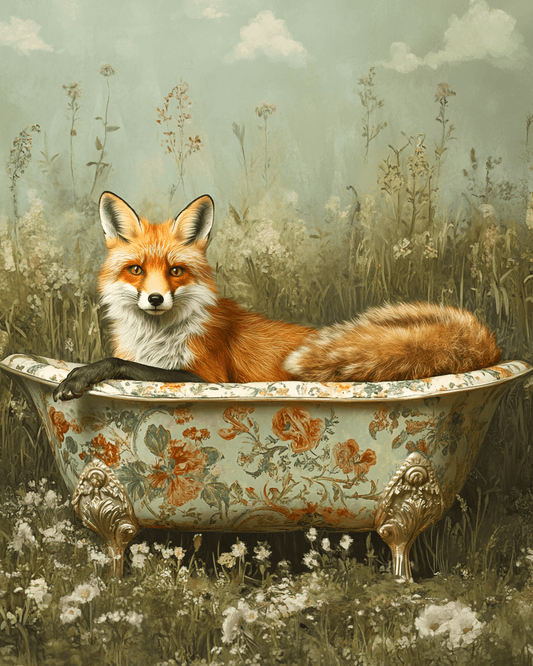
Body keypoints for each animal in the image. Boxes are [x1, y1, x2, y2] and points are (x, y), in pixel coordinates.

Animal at [53, 191, 501, 401]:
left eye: (176, 271)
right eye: (137, 270)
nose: (156, 300)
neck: (155, 338)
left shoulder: (206, 377)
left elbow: (120, 364)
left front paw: (83, 374)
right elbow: (127, 362)